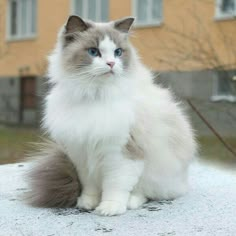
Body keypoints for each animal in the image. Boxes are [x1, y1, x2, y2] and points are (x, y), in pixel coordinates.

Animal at [26, 15, 197, 217]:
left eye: (118, 52)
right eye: (93, 52)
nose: (111, 64)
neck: (95, 95)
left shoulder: (120, 153)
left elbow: (116, 185)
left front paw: (109, 208)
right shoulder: (81, 154)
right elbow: (89, 186)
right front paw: (87, 203)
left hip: (158, 172)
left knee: (146, 192)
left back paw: (131, 202)